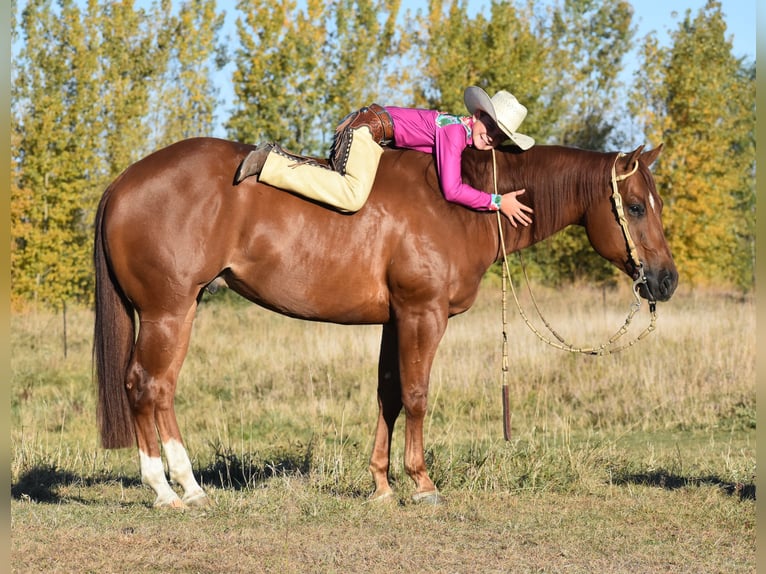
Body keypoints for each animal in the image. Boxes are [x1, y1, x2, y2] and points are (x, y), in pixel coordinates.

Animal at [91, 137, 680, 510]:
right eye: (635, 206)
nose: (665, 281)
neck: (457, 204)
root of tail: (123, 182)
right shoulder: (424, 314)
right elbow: (417, 395)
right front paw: (421, 483)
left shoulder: (396, 320)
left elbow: (389, 395)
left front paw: (381, 484)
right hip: (171, 312)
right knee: (147, 386)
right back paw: (169, 490)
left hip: (176, 312)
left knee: (158, 391)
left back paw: (185, 487)